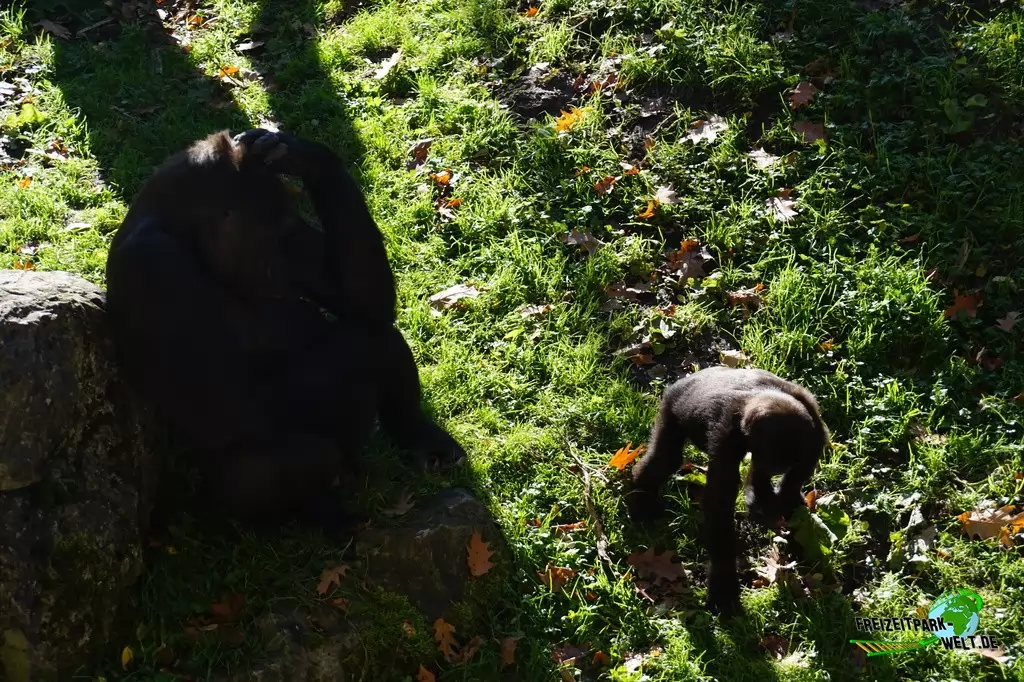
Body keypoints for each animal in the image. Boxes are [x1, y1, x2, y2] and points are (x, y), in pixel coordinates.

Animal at [105, 128, 465, 533]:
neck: (179, 227)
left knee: (379, 334)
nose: (278, 270)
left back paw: (416, 434)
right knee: (288, 457)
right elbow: (231, 404)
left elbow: (365, 303)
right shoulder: (154, 263)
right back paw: (321, 510)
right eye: (268, 240)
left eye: (285, 235)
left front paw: (306, 156)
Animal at [626, 366, 828, 616]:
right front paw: (724, 587)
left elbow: (789, 490)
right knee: (666, 458)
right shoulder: (728, 433)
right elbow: (720, 505)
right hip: (671, 404)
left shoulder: (813, 436)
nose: (767, 470)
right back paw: (640, 497)